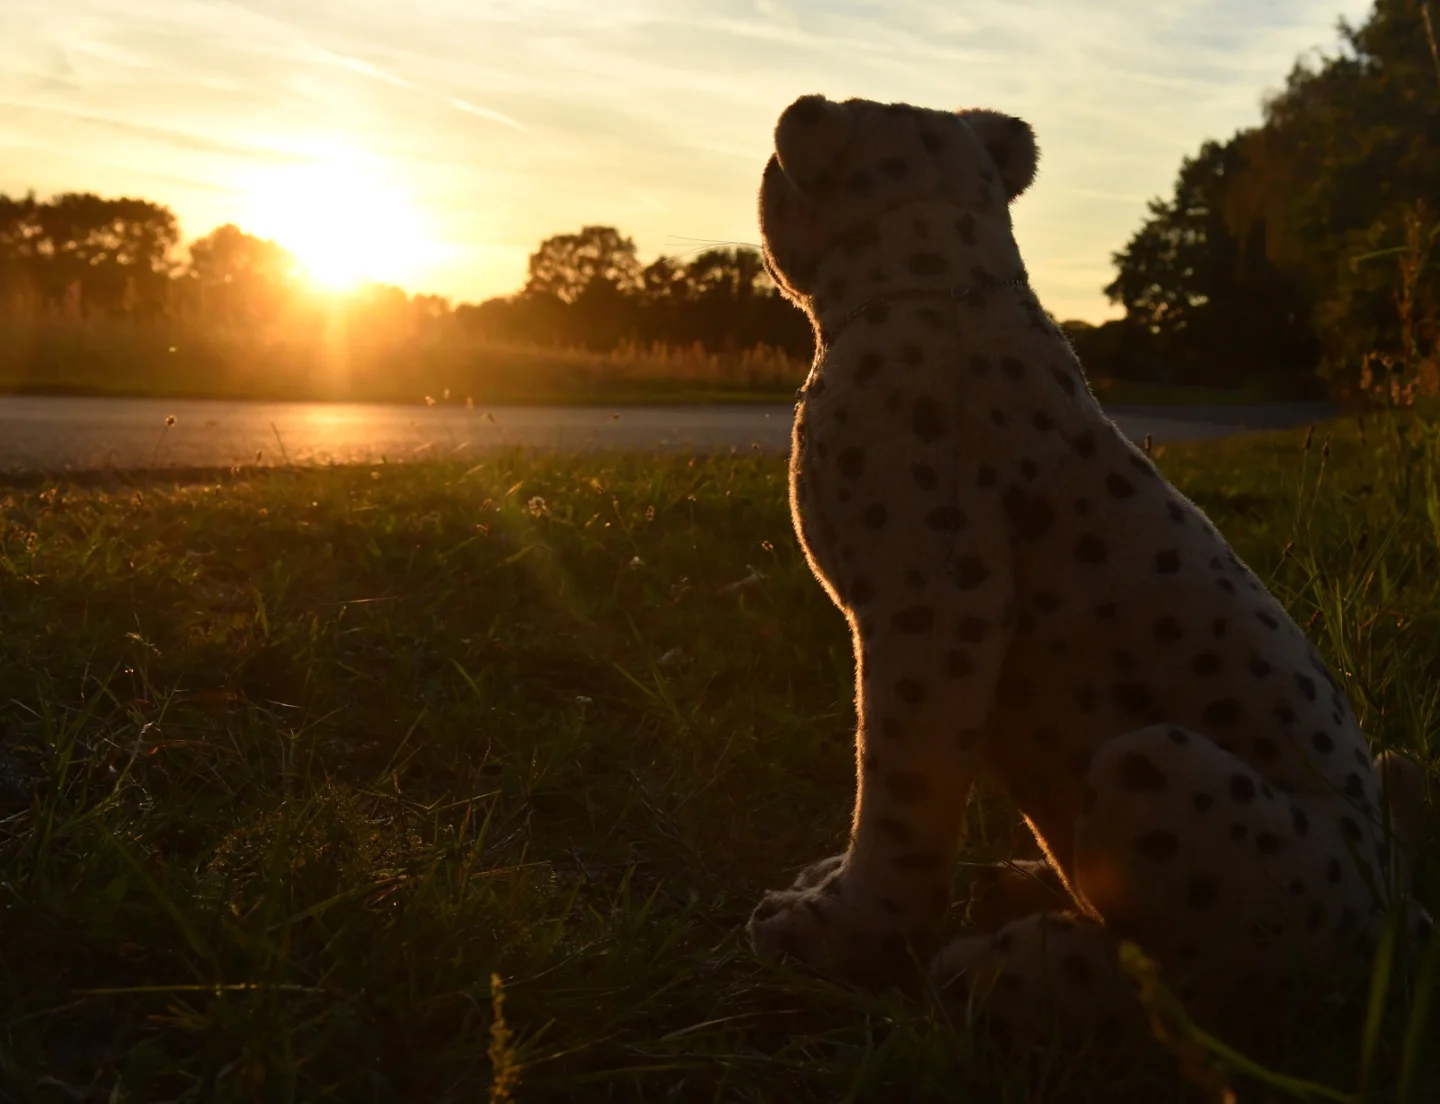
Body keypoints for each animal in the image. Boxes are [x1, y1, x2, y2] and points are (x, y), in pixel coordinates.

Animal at [746, 92, 1431, 1042]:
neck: (938, 277)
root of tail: (1394, 914)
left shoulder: (932, 610)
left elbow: (899, 784)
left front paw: (844, 930)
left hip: (1156, 764)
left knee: (1201, 992)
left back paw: (1018, 971)